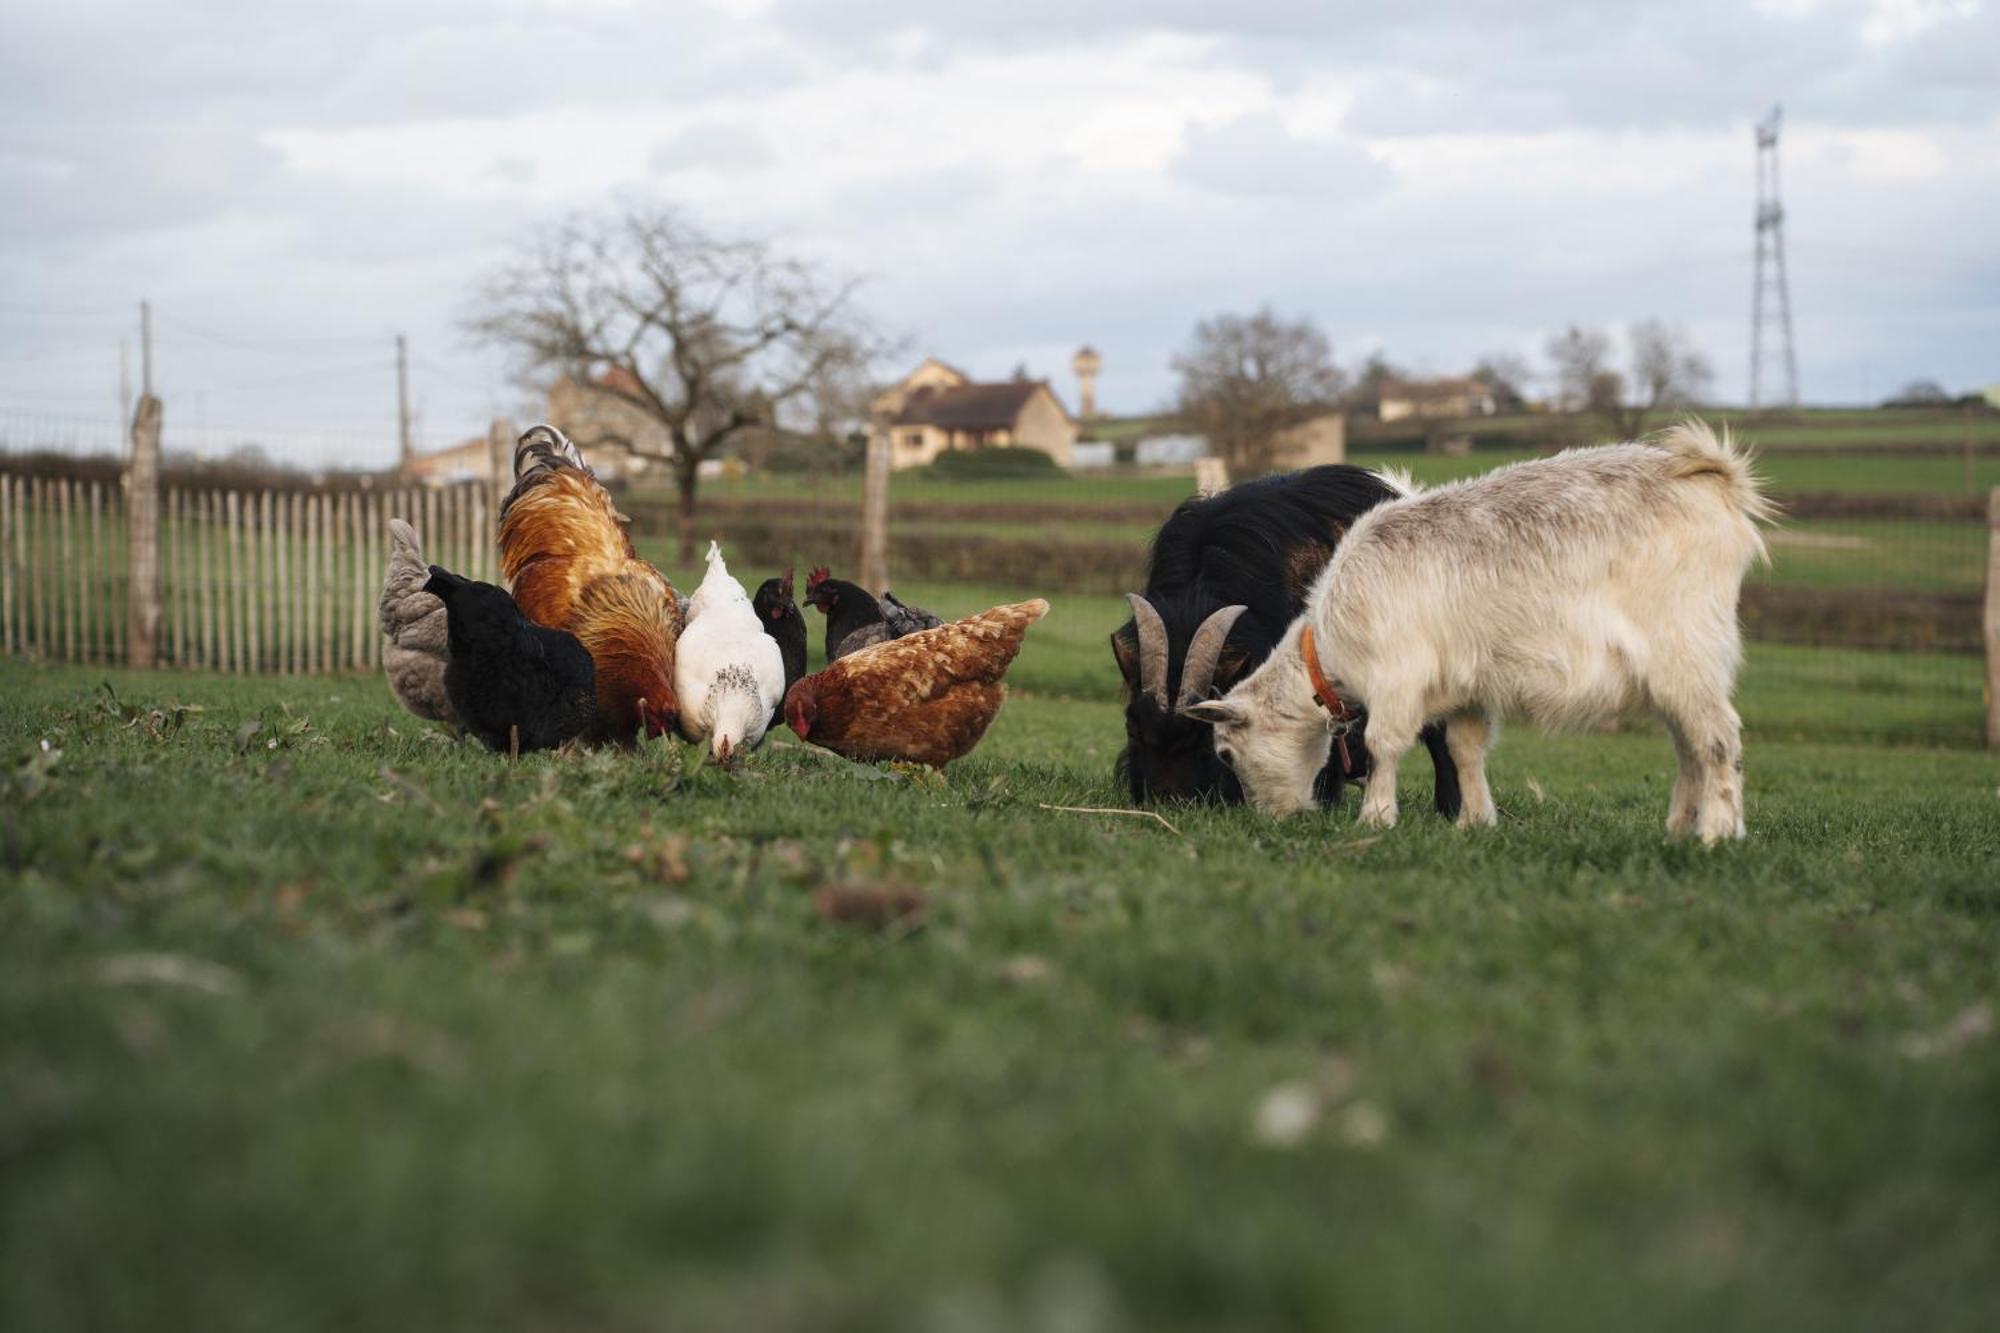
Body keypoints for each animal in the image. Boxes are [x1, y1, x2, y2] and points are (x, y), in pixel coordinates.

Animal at [1176, 422, 1776, 840]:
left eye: (1225, 753)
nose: (1269, 819)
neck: (1328, 642)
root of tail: (1712, 479)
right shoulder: (1463, 688)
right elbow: (1465, 750)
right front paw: (1475, 822)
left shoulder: (1398, 677)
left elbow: (1384, 744)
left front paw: (1376, 819)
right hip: (1671, 675)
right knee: (1688, 744)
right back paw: (1678, 829)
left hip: (1687, 650)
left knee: (1718, 739)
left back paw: (1718, 834)